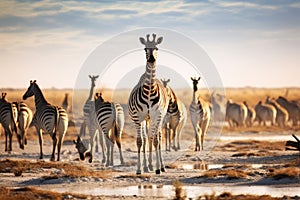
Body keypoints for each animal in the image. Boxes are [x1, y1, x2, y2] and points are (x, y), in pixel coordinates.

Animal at [127, 33, 169, 174]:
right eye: (145, 49)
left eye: (156, 48)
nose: (151, 59)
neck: (150, 90)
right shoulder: (137, 117)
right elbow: (140, 141)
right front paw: (139, 168)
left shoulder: (157, 115)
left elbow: (155, 141)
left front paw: (158, 168)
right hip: (146, 119)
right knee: (147, 138)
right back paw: (147, 166)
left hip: (159, 118)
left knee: (157, 138)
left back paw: (160, 166)